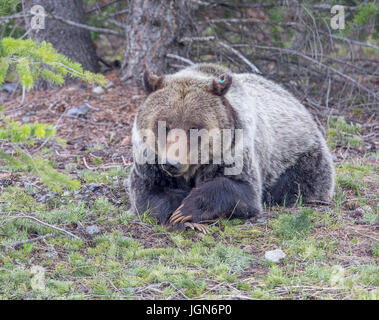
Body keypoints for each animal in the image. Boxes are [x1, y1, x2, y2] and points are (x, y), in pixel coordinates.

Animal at [128, 63, 336, 232]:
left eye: (194, 128)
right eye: (164, 126)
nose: (172, 163)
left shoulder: (233, 151)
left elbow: (243, 191)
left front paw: (187, 209)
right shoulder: (149, 158)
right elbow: (148, 192)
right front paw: (178, 210)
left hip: (300, 155)